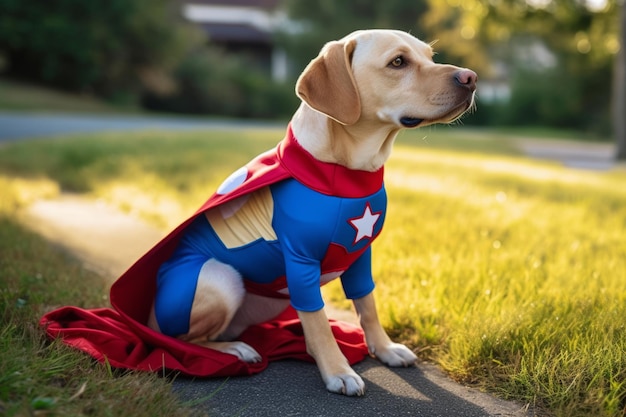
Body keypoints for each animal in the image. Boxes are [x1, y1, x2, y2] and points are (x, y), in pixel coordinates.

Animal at [146, 30, 476, 396]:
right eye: (398, 62)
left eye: (431, 57)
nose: (471, 78)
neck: (345, 175)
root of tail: (146, 316)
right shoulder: (300, 260)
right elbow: (318, 320)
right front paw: (338, 370)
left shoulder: (361, 255)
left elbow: (367, 304)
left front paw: (384, 348)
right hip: (219, 278)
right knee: (178, 340)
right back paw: (233, 350)